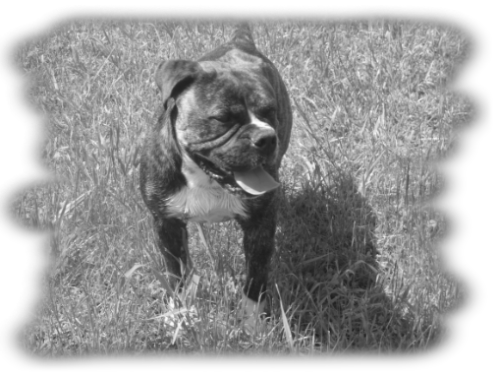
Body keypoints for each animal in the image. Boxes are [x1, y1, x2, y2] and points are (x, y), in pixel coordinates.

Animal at [140, 22, 292, 330]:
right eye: (223, 118)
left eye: (270, 112)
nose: (266, 137)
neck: (206, 178)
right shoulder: (166, 223)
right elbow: (177, 274)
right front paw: (180, 316)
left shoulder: (260, 226)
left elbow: (256, 279)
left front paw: (254, 325)